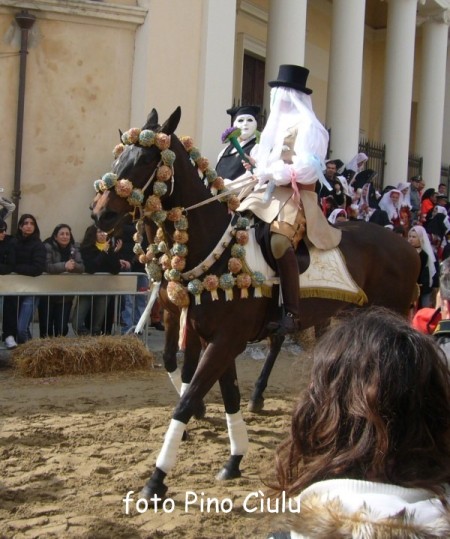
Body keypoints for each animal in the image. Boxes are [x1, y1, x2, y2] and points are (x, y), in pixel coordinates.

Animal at [89, 107, 420, 500]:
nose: (100, 214)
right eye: (119, 157)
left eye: (144, 160)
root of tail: (406, 245)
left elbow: (188, 396)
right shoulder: (206, 333)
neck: (216, 251)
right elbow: (219, 390)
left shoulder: (224, 339)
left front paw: (157, 478)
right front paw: (233, 458)